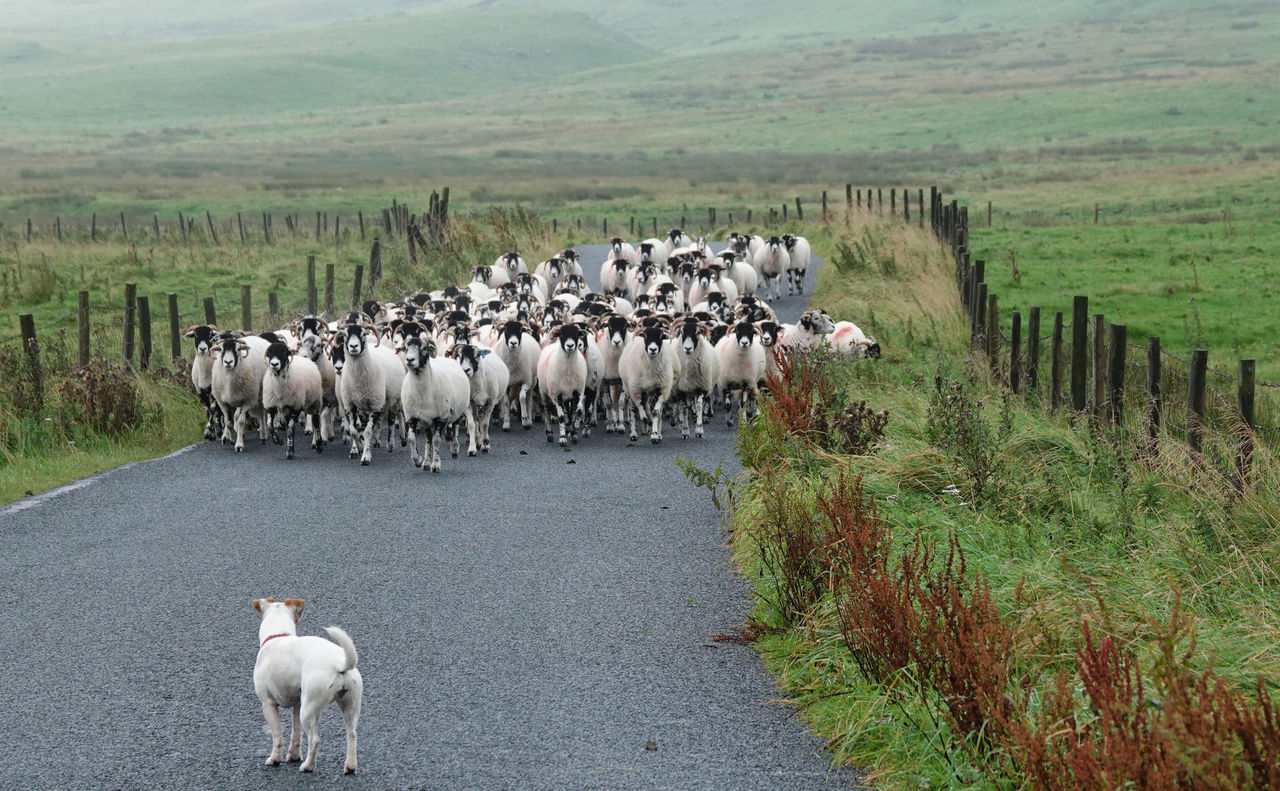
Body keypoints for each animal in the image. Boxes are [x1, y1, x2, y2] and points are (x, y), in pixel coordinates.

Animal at [249, 596, 363, 767]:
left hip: (308, 710)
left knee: (315, 740)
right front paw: (294, 756)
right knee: (352, 735)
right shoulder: (297, 704)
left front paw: (275, 759)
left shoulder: (268, 704)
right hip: (349, 706)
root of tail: (340, 664)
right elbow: (296, 734)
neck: (279, 636)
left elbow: (277, 736)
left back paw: (307, 766)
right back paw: (349, 767)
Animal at [399, 330, 471, 468]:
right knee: (428, 438)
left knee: (455, 428)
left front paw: (436, 465)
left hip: (458, 411)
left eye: (424, 348)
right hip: (427, 420)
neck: (423, 394)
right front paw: (418, 460)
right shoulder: (411, 417)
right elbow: (412, 439)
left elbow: (437, 441)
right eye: (406, 348)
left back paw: (454, 449)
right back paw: (426, 462)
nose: (409, 360)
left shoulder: (441, 418)